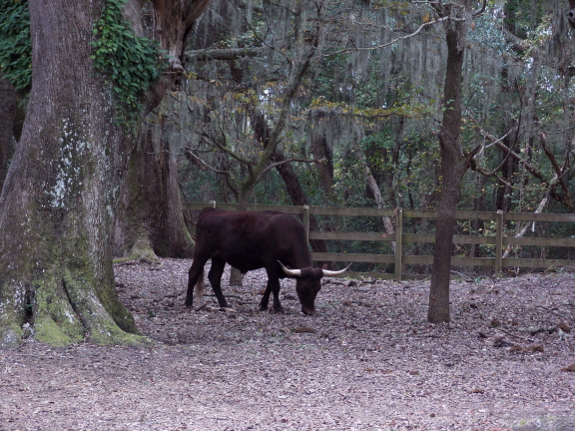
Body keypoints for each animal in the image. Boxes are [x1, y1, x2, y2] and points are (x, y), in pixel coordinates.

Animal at [187, 208, 348, 316]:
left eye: (318, 289)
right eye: (303, 288)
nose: (310, 311)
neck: (288, 234)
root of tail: (209, 211)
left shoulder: (277, 267)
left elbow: (270, 285)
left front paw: (263, 305)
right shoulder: (270, 262)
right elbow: (275, 285)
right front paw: (278, 307)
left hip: (219, 257)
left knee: (214, 277)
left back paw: (224, 304)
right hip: (201, 252)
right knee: (193, 273)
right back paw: (188, 303)